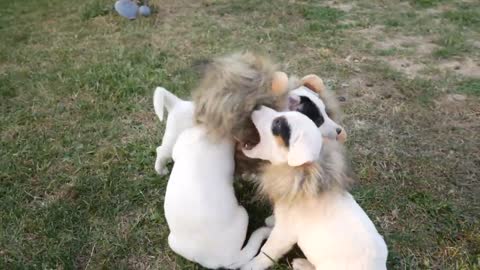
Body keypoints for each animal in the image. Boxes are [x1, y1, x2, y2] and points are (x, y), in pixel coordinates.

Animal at [240, 106, 386, 270]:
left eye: (277, 124)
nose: (257, 106)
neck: (299, 174)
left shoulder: (283, 234)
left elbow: (267, 251)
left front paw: (251, 265)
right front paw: (272, 219)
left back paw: (302, 263)